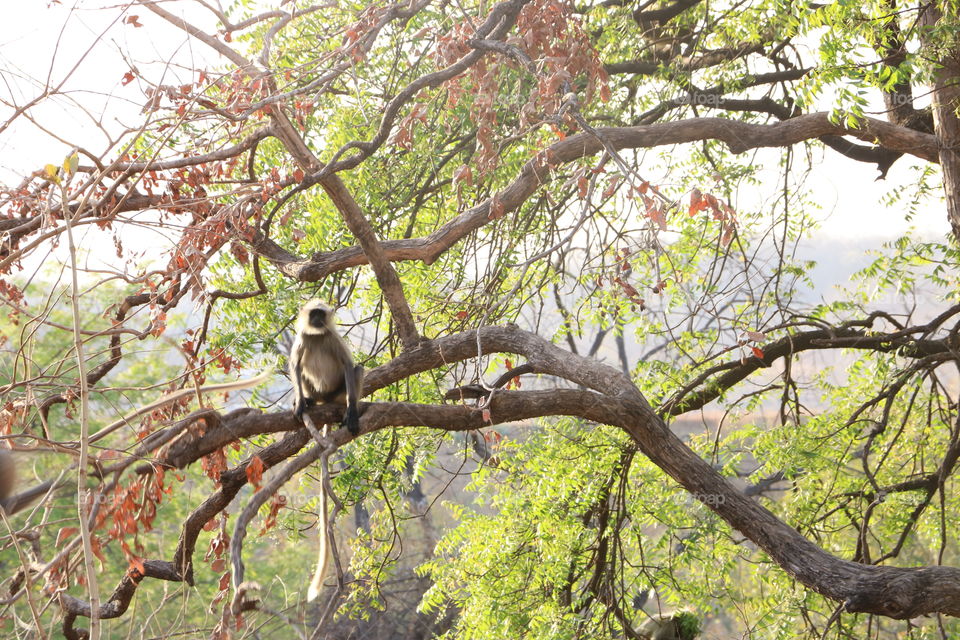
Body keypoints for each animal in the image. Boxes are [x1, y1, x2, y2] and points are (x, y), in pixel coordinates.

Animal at [289, 299, 364, 436]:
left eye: (321, 314)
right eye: (314, 314)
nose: (317, 319)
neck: (317, 335)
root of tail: (325, 399)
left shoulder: (332, 335)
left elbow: (348, 364)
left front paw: (351, 412)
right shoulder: (303, 335)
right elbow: (295, 364)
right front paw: (300, 403)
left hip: (336, 395)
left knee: (358, 369)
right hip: (316, 392)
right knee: (301, 371)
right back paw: (310, 400)